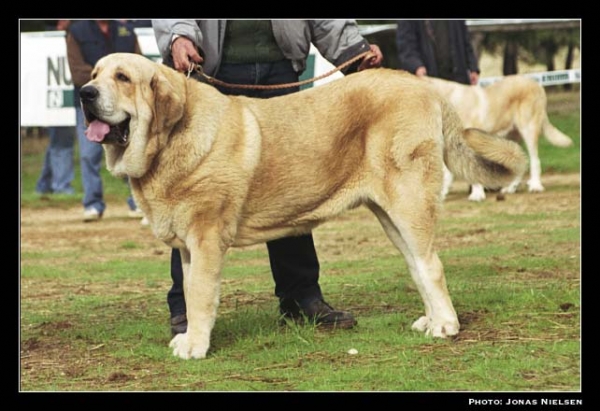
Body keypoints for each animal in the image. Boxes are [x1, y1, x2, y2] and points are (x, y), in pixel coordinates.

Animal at [78, 54, 524, 360]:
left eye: (122, 77)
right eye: (95, 74)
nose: (85, 93)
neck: (170, 140)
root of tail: (425, 88)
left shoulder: (205, 239)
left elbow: (201, 296)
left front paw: (196, 347)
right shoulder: (188, 247)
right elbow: (187, 293)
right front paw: (187, 337)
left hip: (409, 203)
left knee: (431, 265)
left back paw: (446, 326)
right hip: (390, 215)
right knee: (417, 265)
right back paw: (431, 320)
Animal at [426, 75, 572, 203]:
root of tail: (536, 83)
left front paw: (477, 195)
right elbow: (447, 172)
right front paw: (441, 195)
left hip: (528, 128)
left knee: (534, 160)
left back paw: (535, 186)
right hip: (510, 137)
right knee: (518, 160)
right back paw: (510, 188)